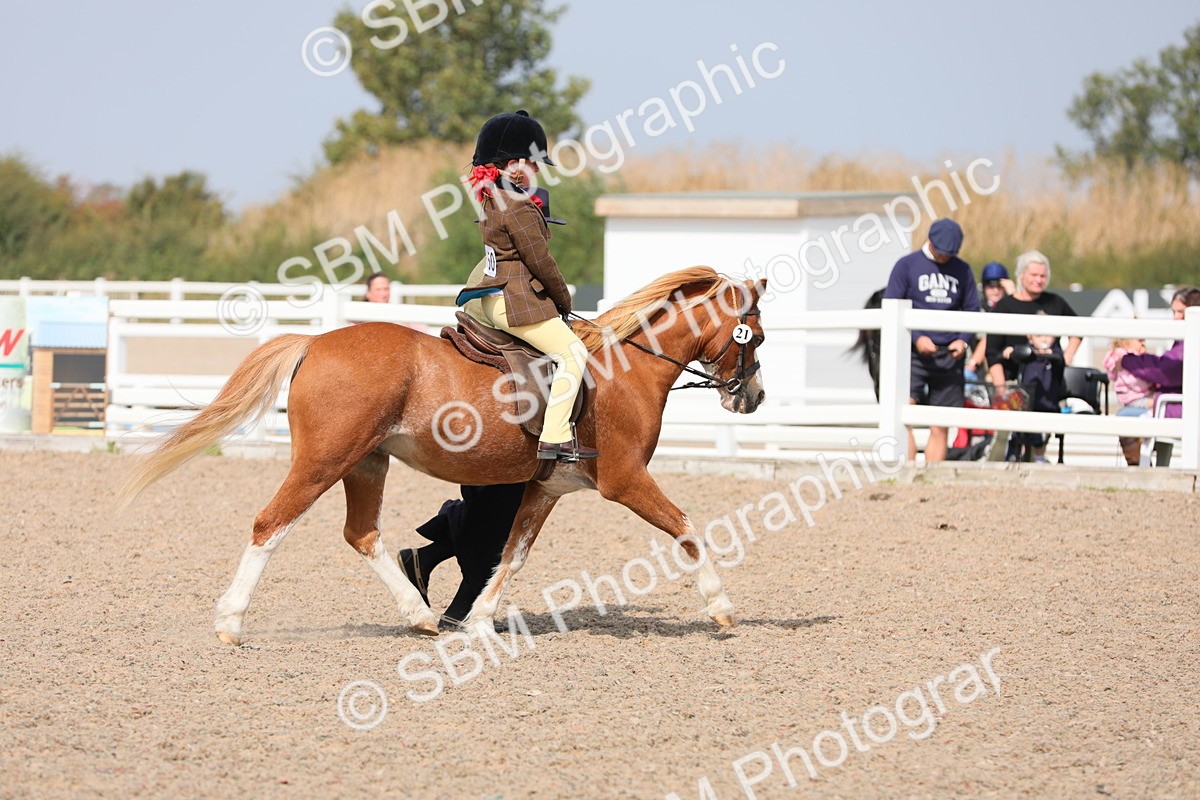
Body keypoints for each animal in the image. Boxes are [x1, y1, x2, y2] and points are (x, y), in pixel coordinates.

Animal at [118, 267, 768, 644]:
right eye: (755, 336)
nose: (753, 397)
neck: (625, 369)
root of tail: (316, 342)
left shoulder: (547, 489)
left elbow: (512, 555)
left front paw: (477, 620)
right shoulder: (626, 480)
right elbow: (687, 529)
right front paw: (722, 607)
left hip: (367, 463)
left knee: (363, 535)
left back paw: (422, 615)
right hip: (323, 463)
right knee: (269, 525)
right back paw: (230, 623)